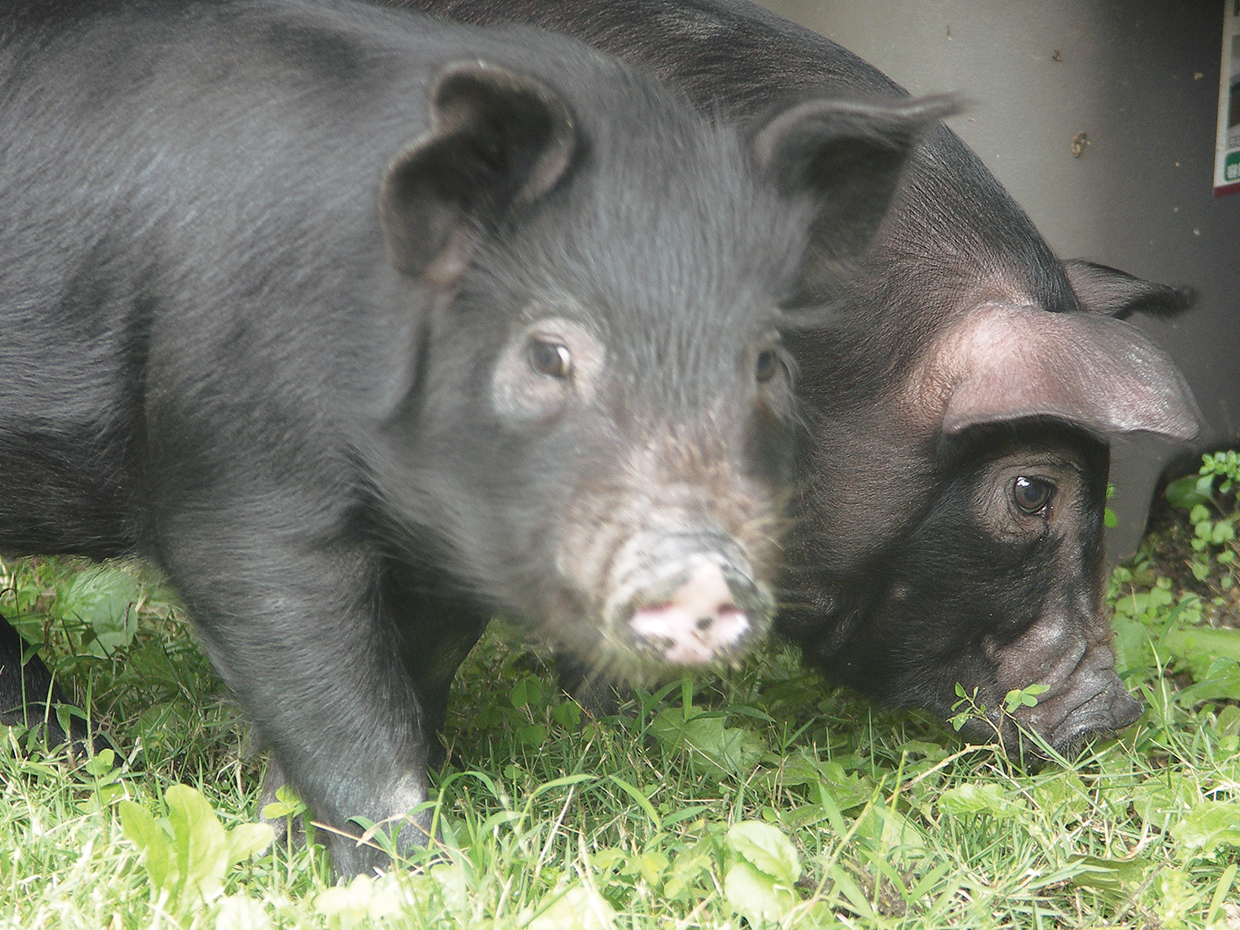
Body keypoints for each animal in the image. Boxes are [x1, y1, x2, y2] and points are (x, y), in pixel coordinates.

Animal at [0, 0, 947, 872]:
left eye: (766, 361)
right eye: (548, 353)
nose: (704, 570)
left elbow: (408, 684)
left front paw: (282, 840)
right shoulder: (232, 477)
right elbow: (338, 706)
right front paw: (411, 880)